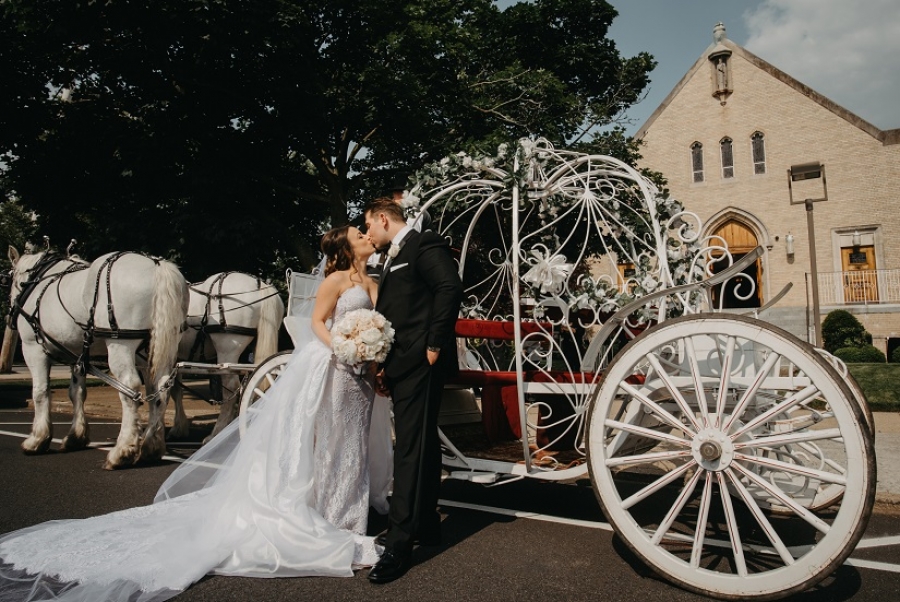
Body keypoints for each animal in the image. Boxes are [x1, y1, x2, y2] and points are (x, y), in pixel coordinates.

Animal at [5, 245, 190, 468]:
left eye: (10, 278)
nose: (9, 314)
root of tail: (158, 266)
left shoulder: (33, 348)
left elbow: (40, 392)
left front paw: (37, 440)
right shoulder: (76, 355)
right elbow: (76, 392)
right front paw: (76, 436)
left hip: (120, 345)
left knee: (130, 388)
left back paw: (122, 450)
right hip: (157, 348)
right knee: (160, 390)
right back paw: (150, 447)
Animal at [168, 272, 282, 440]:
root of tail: (260, 284)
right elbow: (175, 390)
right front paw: (178, 427)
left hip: (227, 351)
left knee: (231, 387)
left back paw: (217, 432)